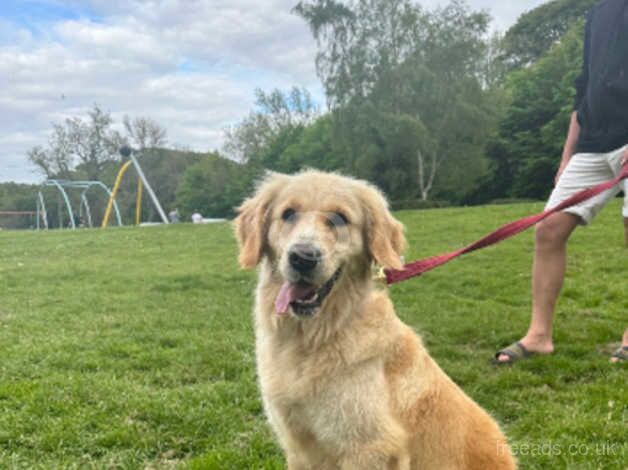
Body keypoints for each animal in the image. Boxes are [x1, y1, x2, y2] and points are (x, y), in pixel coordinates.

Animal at [236, 171, 516, 468]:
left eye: (339, 218)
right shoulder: (297, 445)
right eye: (288, 214)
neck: (313, 337)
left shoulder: (370, 447)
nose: (303, 257)